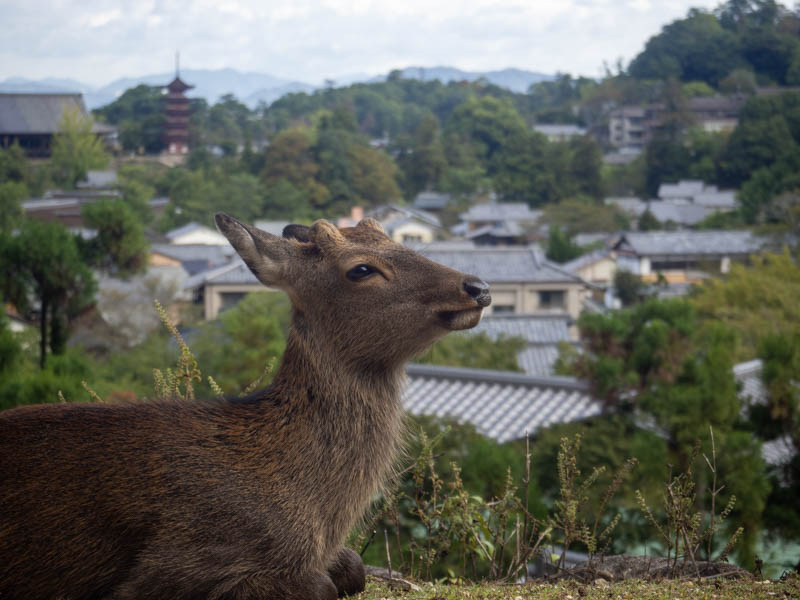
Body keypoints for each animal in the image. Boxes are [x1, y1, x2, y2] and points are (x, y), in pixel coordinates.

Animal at [0, 214, 491, 600]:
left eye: (397, 240)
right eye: (361, 269)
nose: (478, 287)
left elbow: (352, 568)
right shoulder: (176, 563)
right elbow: (321, 586)